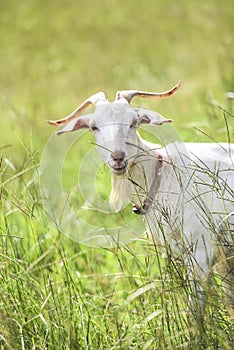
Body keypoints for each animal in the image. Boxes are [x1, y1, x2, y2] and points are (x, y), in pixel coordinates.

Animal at [48, 83, 234, 316]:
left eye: (133, 122)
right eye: (94, 127)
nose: (118, 157)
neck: (162, 174)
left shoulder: (202, 247)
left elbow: (196, 309)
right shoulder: (220, 256)